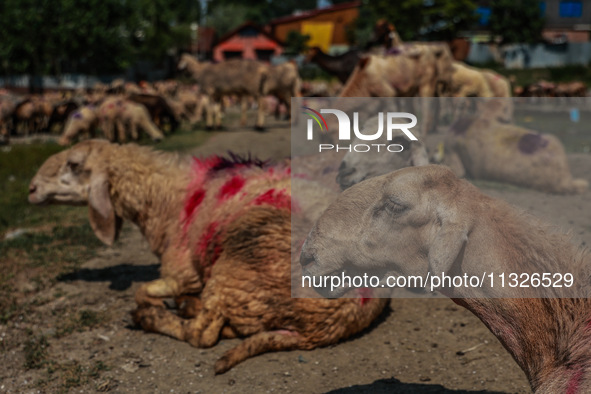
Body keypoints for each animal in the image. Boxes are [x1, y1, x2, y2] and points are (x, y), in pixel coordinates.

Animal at [27, 140, 388, 374]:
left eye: (74, 165)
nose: (30, 189)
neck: (166, 201)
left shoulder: (182, 271)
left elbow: (143, 290)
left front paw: (154, 306)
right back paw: (188, 307)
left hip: (236, 266)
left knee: (202, 334)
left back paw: (152, 317)